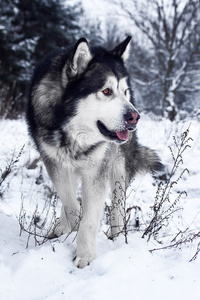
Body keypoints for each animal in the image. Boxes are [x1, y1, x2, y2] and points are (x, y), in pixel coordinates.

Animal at [26, 36, 163, 268]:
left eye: (124, 92)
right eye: (106, 91)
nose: (135, 117)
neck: (73, 133)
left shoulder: (97, 170)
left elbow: (89, 220)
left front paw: (85, 256)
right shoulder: (54, 163)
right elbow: (70, 203)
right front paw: (70, 228)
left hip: (118, 166)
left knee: (118, 205)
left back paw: (117, 237)